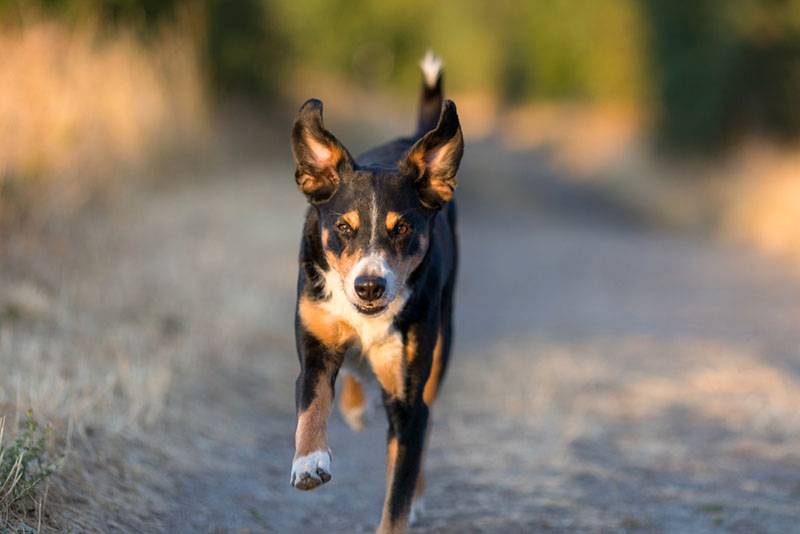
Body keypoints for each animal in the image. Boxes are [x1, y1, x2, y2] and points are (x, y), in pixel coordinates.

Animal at [290, 51, 462, 534]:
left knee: (418, 432)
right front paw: (309, 461)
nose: (369, 286)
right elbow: (312, 400)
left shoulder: (407, 396)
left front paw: (406, 502)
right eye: (344, 228)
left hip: (440, 345)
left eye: (401, 228)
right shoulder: (315, 344)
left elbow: (398, 488)